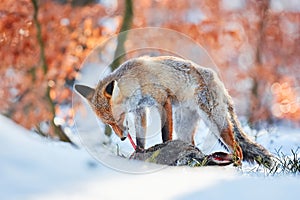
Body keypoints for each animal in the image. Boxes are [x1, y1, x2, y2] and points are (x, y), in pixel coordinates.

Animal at [74, 55, 272, 166]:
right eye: (108, 123)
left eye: (118, 119)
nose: (122, 138)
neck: (136, 80)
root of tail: (220, 83)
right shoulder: (140, 110)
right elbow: (140, 139)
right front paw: (139, 153)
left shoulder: (163, 101)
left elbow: (165, 136)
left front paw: (162, 153)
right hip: (184, 127)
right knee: (194, 146)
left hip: (215, 123)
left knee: (239, 150)